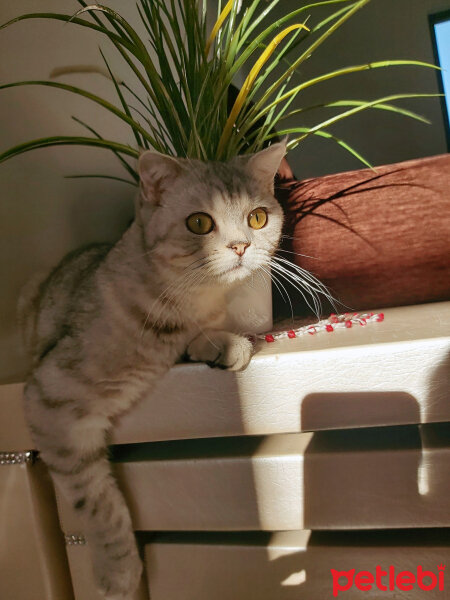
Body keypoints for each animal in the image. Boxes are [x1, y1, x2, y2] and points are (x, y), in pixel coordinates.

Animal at [19, 139, 286, 596]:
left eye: (257, 217)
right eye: (199, 222)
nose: (240, 246)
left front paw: (223, 343)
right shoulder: (52, 402)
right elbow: (98, 500)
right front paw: (119, 572)